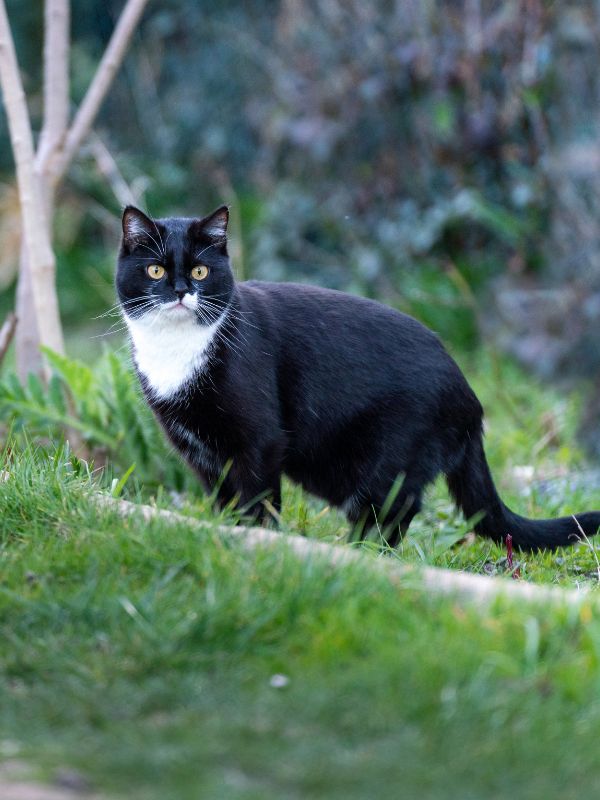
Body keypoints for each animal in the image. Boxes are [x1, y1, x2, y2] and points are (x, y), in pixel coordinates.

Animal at [116, 205, 600, 552]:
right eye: (155, 270)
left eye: (200, 271)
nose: (181, 291)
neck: (176, 356)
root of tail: (471, 401)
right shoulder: (201, 453)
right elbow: (225, 500)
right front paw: (227, 531)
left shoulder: (260, 441)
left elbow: (258, 498)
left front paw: (257, 540)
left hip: (384, 454)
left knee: (395, 507)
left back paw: (359, 555)